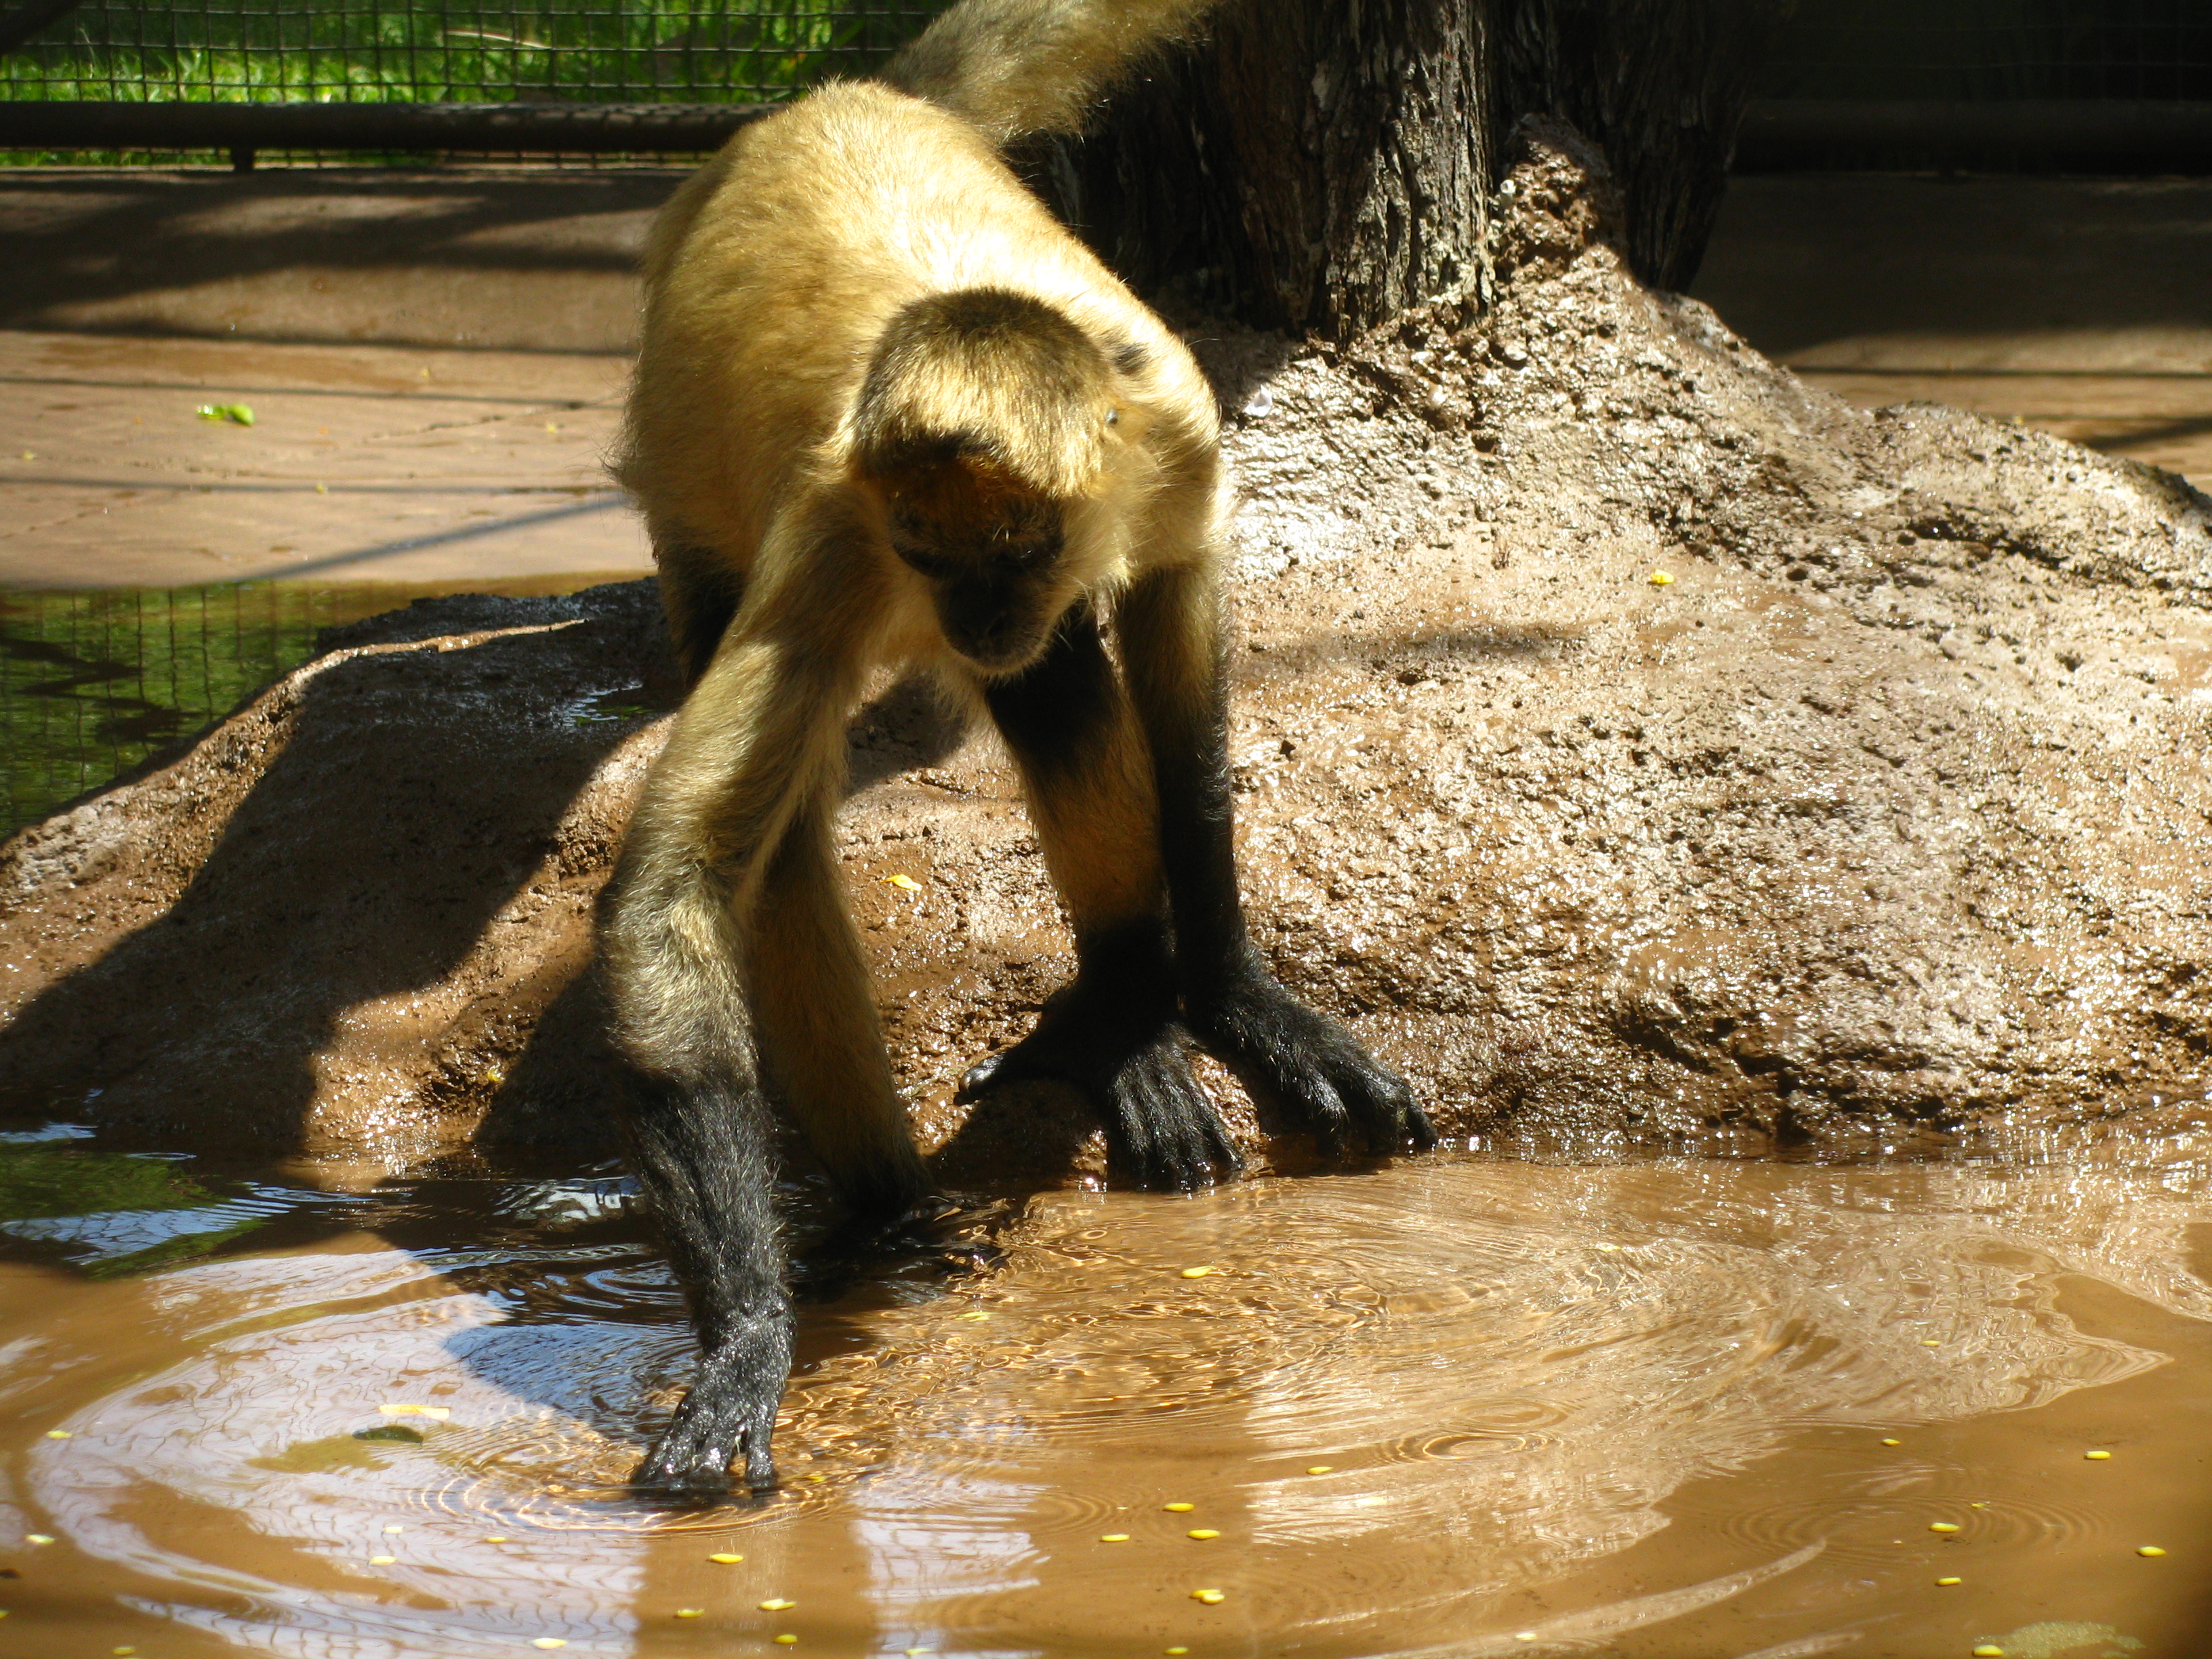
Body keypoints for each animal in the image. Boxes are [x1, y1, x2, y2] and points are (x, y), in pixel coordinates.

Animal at [601, 0, 1437, 1497]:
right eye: (931, 554)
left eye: (1020, 547)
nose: (975, 617)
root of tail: (826, 101)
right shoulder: (837, 533)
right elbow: (671, 890)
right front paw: (747, 1338)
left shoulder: (1167, 419)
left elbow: (1174, 608)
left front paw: (1229, 990)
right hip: (704, 519)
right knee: (794, 832)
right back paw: (893, 1206)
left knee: (1058, 685)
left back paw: (1118, 1012)